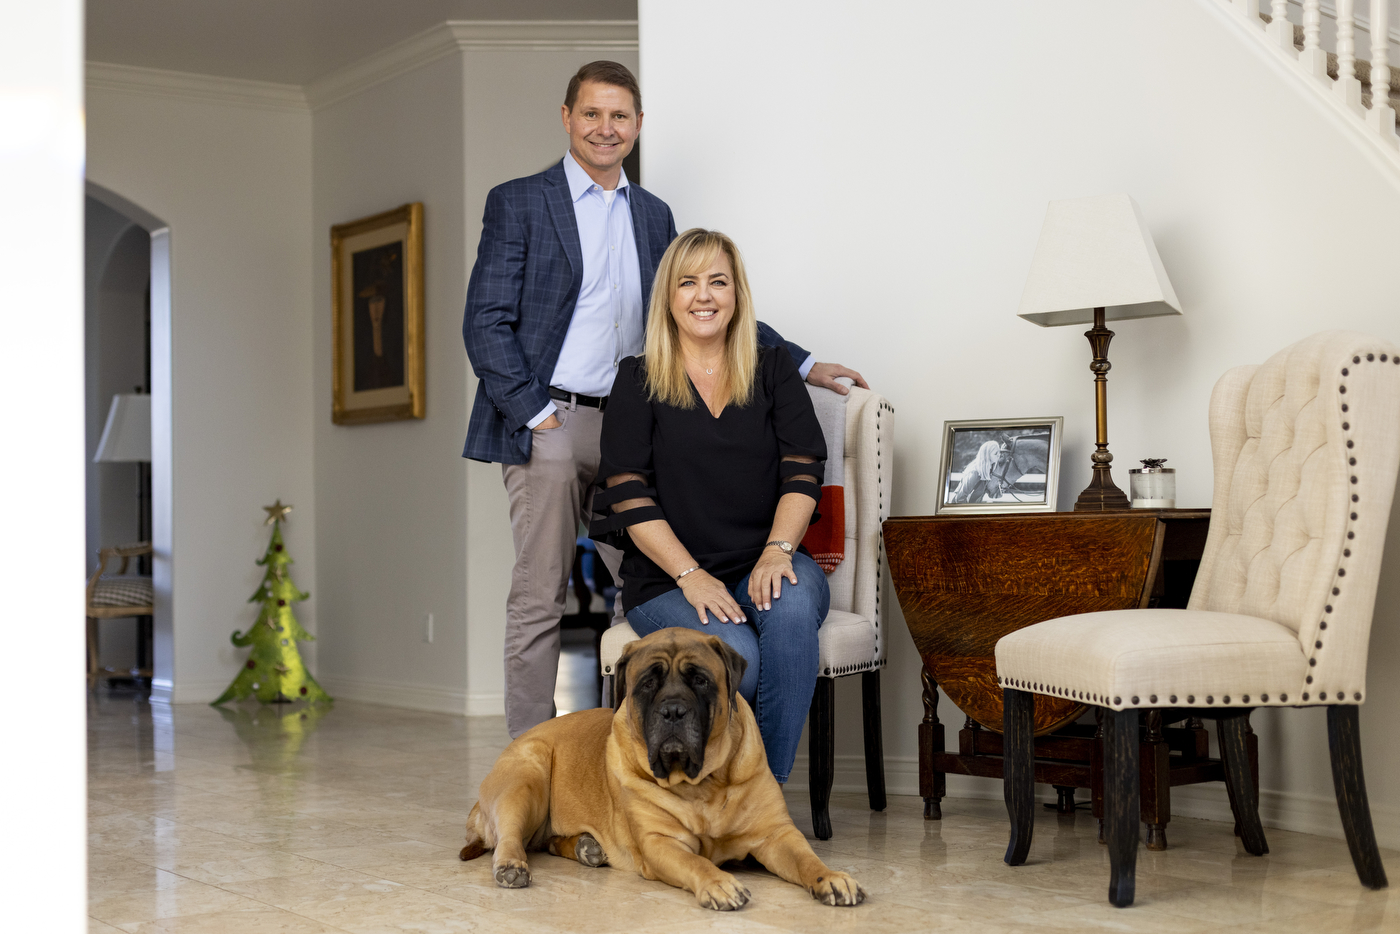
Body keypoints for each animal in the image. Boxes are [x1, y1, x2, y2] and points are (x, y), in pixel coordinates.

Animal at [462, 624, 862, 907]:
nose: (672, 711)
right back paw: (513, 866)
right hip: (527, 779)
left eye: (699, 679)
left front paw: (832, 877)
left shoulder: (775, 834)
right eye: (647, 684)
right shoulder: (661, 843)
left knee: (545, 843)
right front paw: (719, 883)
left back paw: (585, 848)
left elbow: (807, 859)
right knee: (510, 838)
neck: (703, 784)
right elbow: (698, 862)